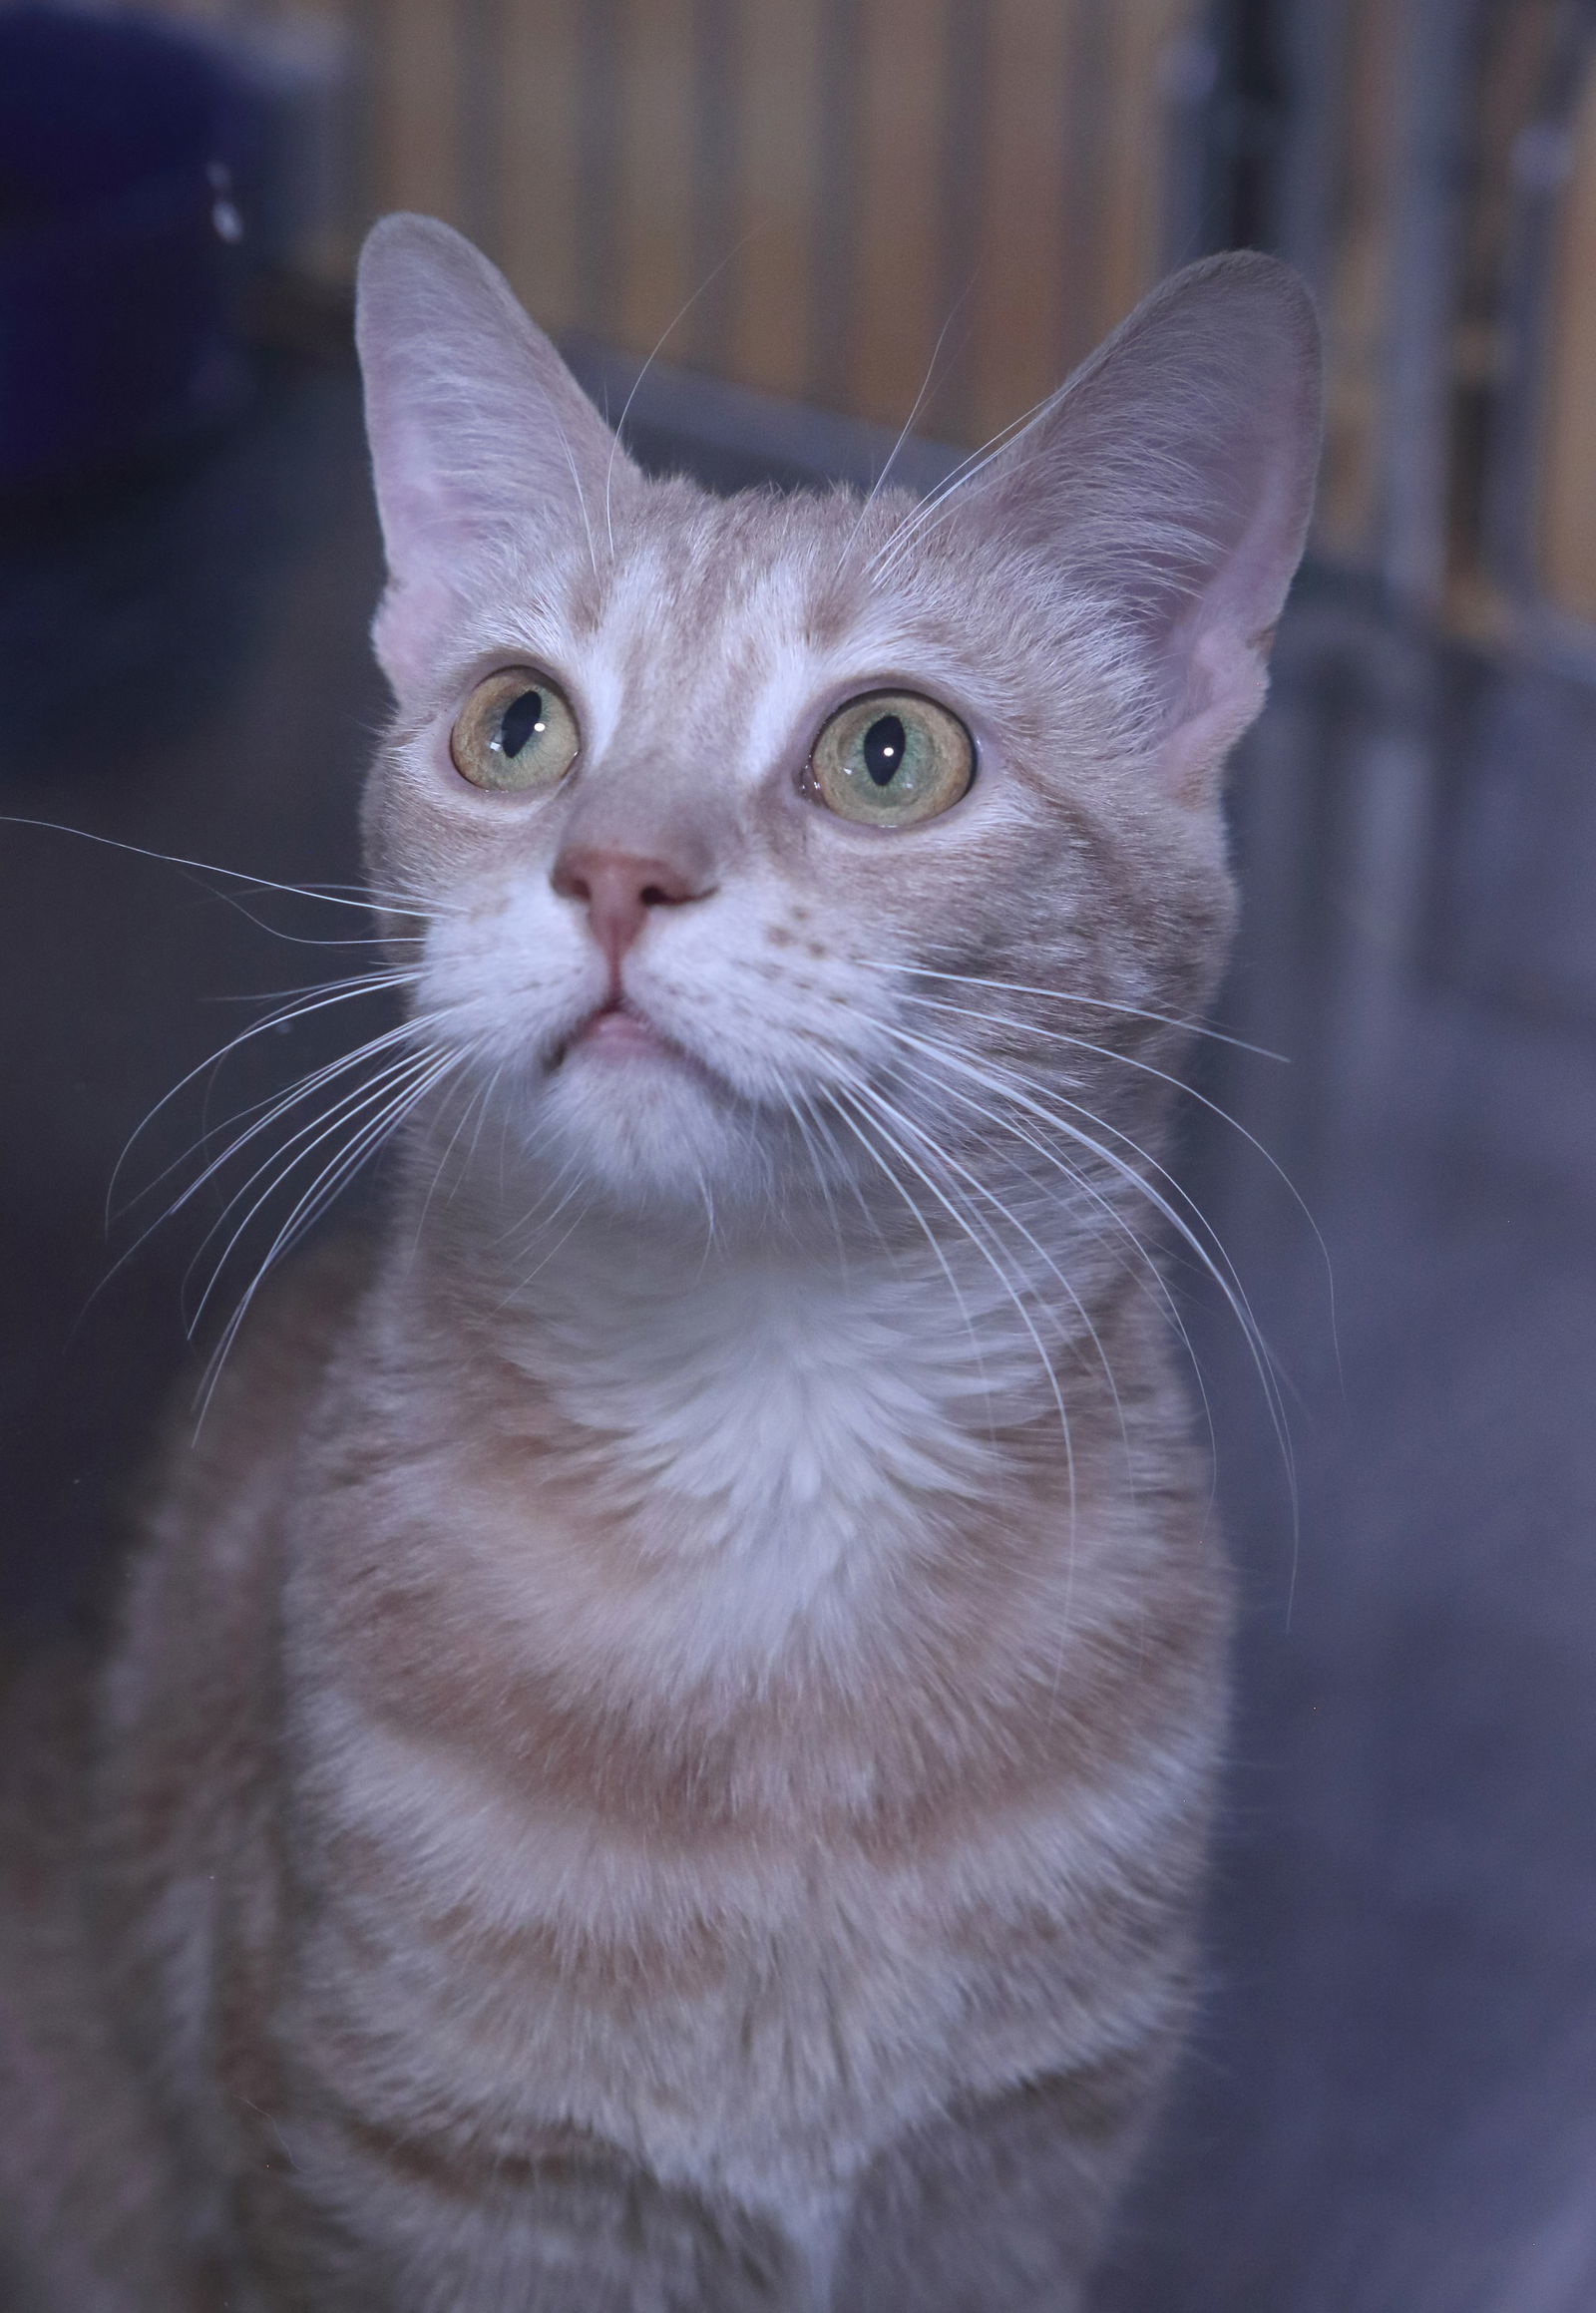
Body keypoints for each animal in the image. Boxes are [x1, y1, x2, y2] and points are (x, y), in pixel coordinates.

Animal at [0, 207, 1314, 2303]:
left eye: (889, 752)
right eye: (517, 725)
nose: (615, 870)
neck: (770, 1452)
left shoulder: (1012, 2189)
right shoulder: (387, 2192)